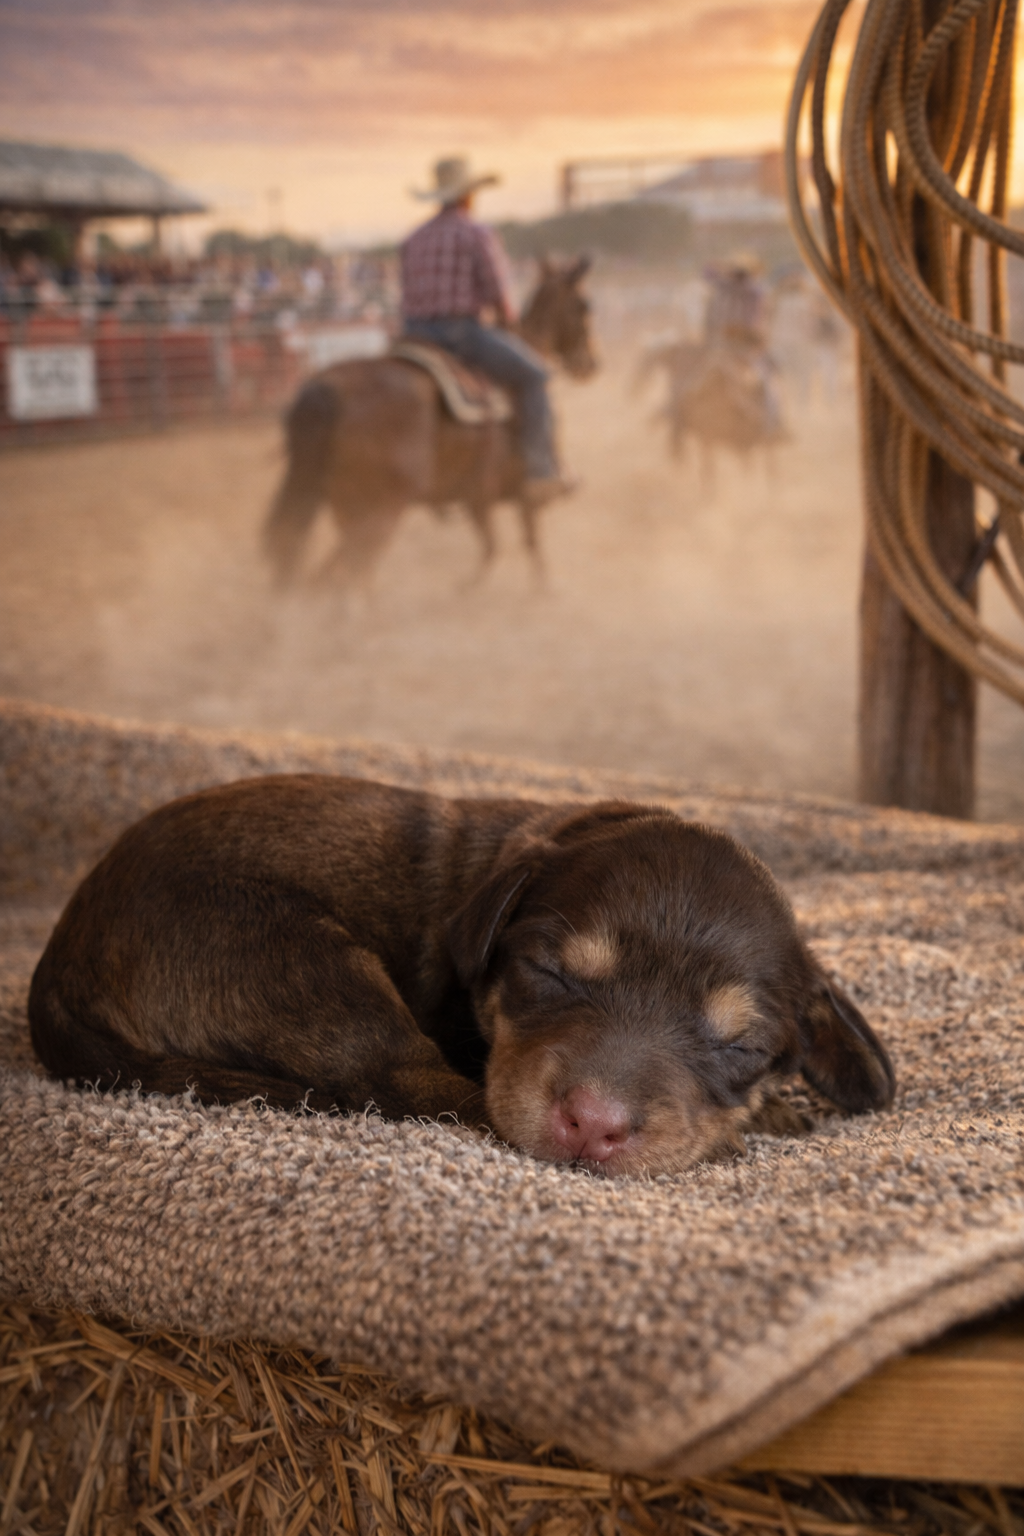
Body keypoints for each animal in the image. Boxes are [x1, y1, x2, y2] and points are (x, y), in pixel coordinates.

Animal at [29, 776, 896, 1177]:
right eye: (549, 972)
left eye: (740, 1047)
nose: (594, 1124)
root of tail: (60, 962)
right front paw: (764, 1118)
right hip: (295, 954)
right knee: (420, 1088)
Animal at [264, 258, 597, 588]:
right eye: (583, 305)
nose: (594, 362)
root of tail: (328, 390)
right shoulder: (519, 495)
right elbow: (528, 543)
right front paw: (540, 588)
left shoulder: (478, 498)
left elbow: (493, 546)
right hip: (375, 512)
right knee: (348, 573)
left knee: (330, 568)